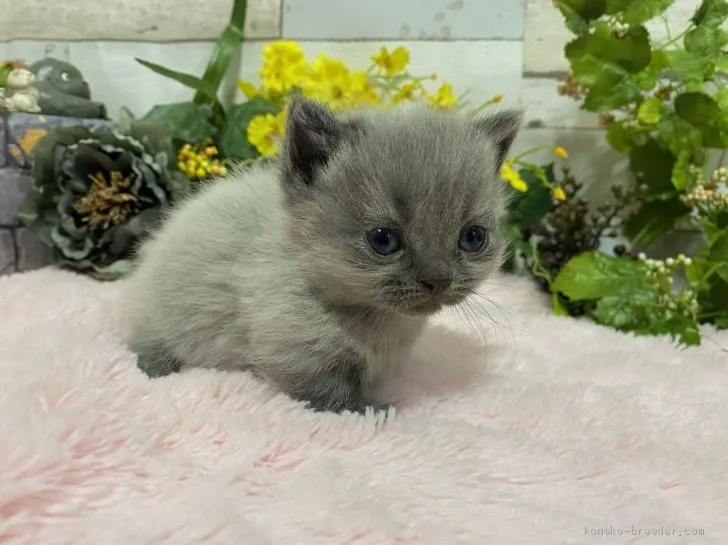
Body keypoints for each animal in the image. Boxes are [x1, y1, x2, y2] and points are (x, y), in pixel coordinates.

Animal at [122, 96, 524, 412]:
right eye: (383, 240)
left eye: (472, 238)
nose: (438, 280)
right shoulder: (296, 351)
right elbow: (331, 394)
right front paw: (375, 411)